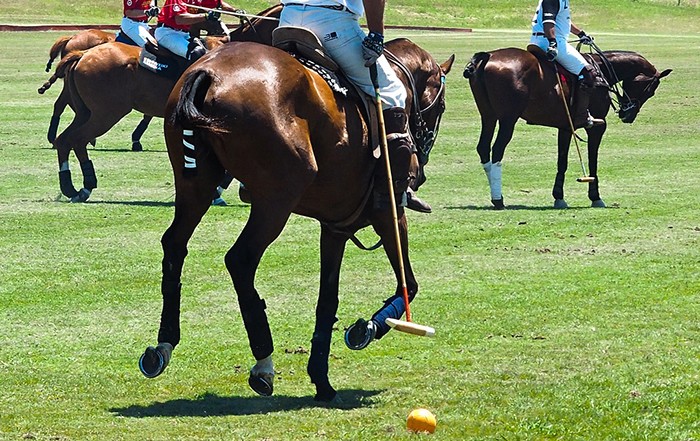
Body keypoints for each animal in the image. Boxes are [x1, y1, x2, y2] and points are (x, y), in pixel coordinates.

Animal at [47, 3, 284, 201]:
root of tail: (83, 54)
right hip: (106, 113)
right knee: (76, 138)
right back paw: (84, 186)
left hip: (86, 112)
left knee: (65, 139)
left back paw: (71, 186)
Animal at [139, 39, 456, 400]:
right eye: (441, 106)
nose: (421, 169)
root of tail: (208, 72)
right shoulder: (388, 212)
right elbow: (410, 285)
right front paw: (368, 328)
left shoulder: (335, 227)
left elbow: (327, 300)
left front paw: (322, 378)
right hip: (278, 197)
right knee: (240, 259)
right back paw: (263, 362)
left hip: (195, 184)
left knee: (174, 245)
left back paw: (163, 345)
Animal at [462, 45, 668, 209]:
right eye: (651, 90)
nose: (628, 115)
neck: (602, 70)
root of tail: (488, 56)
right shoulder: (597, 127)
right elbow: (592, 161)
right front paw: (595, 197)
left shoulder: (566, 127)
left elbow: (562, 161)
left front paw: (559, 197)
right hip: (508, 119)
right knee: (497, 150)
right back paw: (498, 199)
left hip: (488, 115)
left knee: (483, 148)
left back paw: (495, 196)